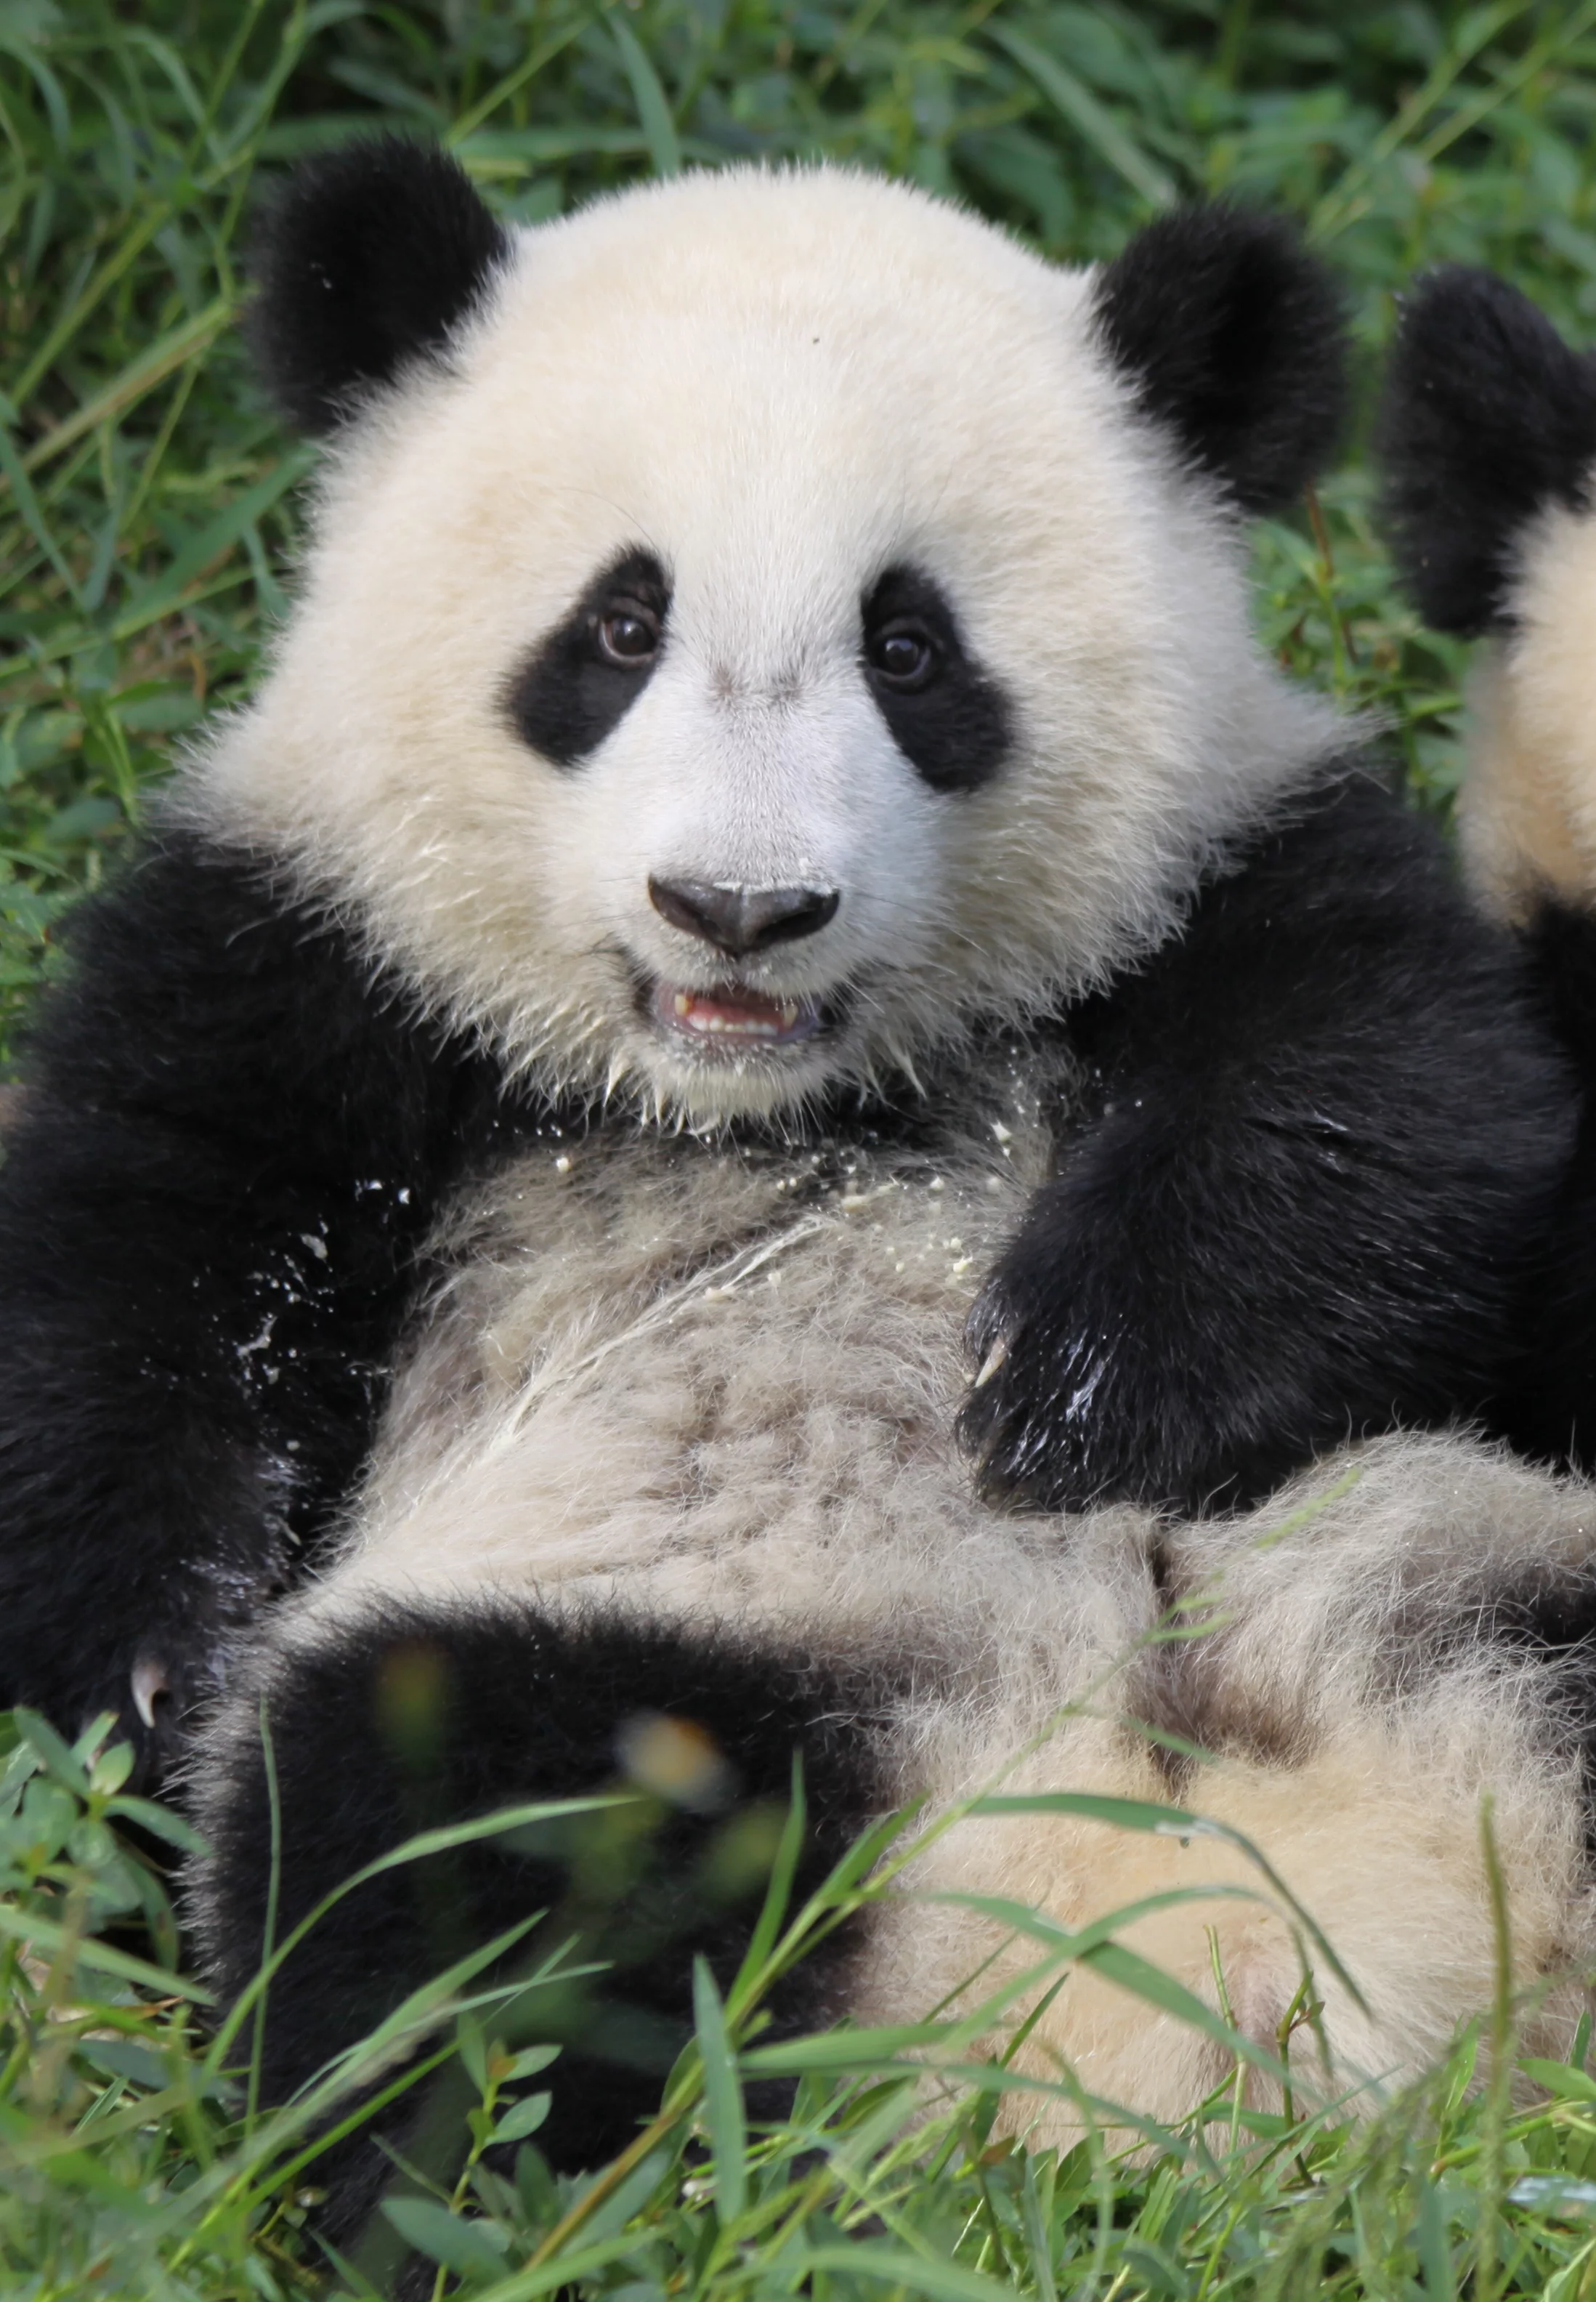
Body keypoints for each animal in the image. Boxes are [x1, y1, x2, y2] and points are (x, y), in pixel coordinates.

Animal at [0, 144, 1587, 2235]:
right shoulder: (308, 945)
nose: (738, 909)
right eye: (617, 630)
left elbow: (1386, 1106)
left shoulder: (1245, 871)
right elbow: (150, 1284)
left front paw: (1081, 1395)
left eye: (909, 651)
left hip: (1465, 1566)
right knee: (447, 1868)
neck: (755, 1100)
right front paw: (145, 1681)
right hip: (664, 1654)